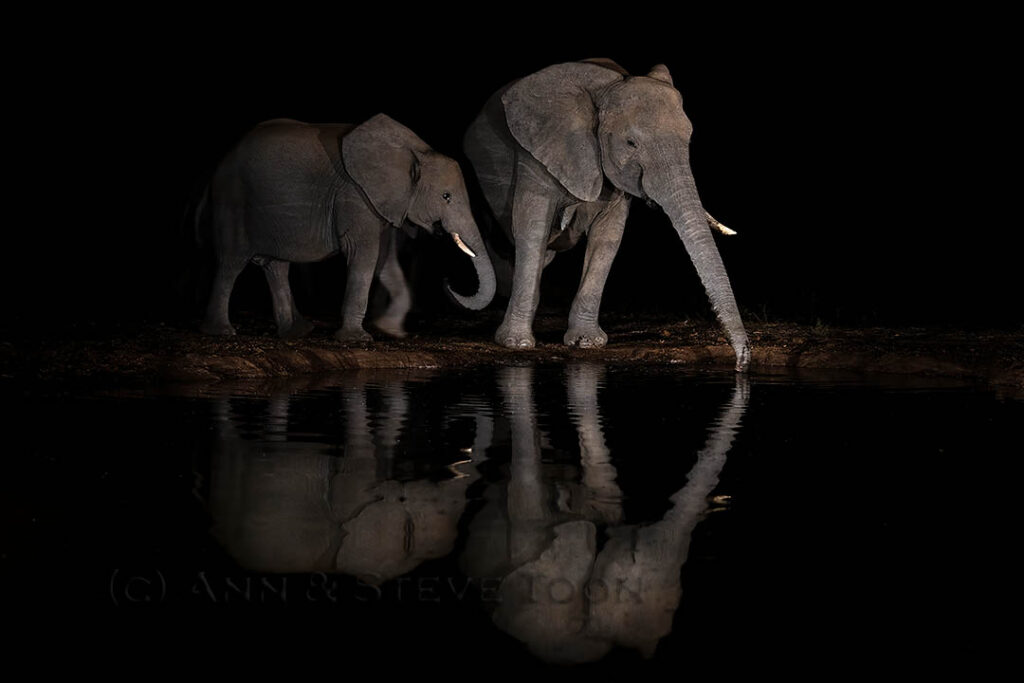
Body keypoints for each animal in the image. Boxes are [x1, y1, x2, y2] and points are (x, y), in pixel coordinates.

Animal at [200, 113, 495, 341]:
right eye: (446, 196)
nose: (448, 281)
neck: (416, 150)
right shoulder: (354, 195)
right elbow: (364, 255)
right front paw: (358, 339)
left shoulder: (382, 202)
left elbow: (384, 260)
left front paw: (389, 329)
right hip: (234, 202)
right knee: (232, 263)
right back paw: (222, 332)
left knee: (276, 267)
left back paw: (297, 332)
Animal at [464, 58, 750, 371]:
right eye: (631, 143)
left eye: (688, 138)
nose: (741, 363)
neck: (607, 88)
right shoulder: (536, 150)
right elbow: (532, 227)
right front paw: (516, 344)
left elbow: (608, 237)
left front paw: (586, 342)